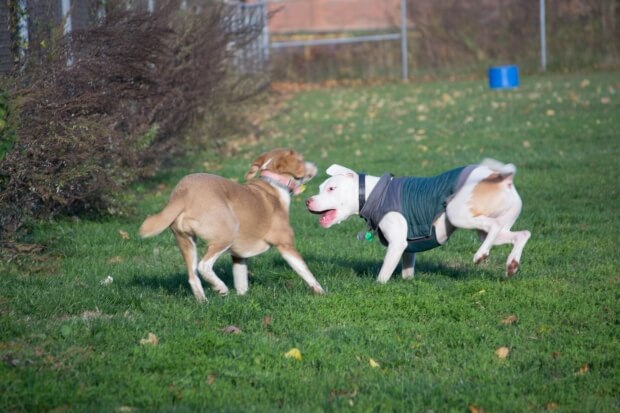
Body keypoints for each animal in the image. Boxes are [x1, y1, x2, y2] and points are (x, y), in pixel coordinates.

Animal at [139, 148, 324, 300]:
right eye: (301, 159)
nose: (315, 164)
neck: (273, 185)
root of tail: (183, 193)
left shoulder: (239, 255)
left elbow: (241, 279)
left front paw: (242, 298)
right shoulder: (285, 245)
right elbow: (305, 270)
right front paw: (320, 291)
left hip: (185, 241)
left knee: (193, 276)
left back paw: (203, 301)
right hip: (226, 233)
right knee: (203, 266)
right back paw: (220, 288)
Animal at [308, 159, 532, 282]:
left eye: (331, 188)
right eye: (319, 188)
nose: (307, 201)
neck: (374, 194)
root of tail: (502, 177)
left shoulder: (397, 244)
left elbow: (382, 276)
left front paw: (378, 286)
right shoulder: (408, 248)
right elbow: (407, 272)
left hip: (457, 213)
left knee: (494, 227)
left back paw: (481, 255)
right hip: (490, 228)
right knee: (521, 234)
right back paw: (512, 264)